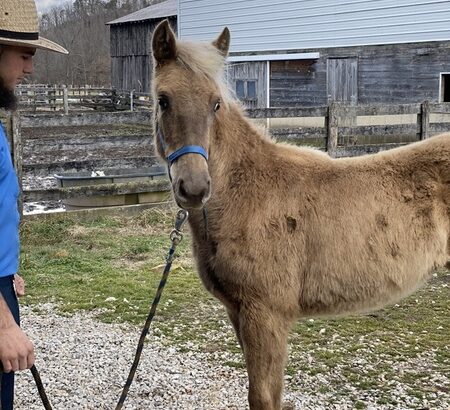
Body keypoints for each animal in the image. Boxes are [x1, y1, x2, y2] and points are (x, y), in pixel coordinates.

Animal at [151, 20, 450, 410]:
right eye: (163, 100)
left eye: (216, 103)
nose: (195, 188)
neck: (248, 192)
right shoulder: (239, 312)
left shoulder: (266, 314)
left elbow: (263, 396)